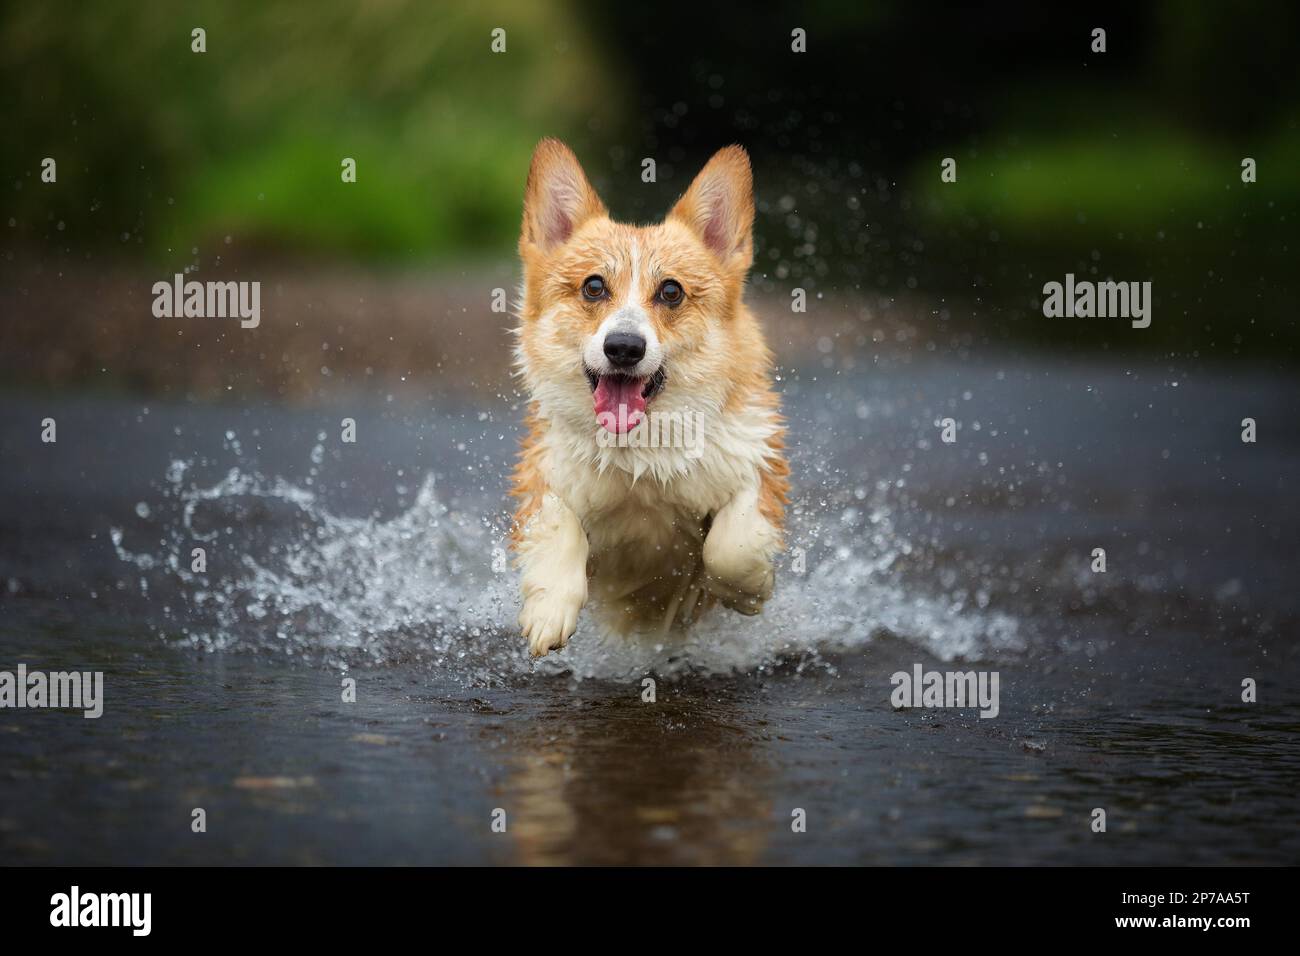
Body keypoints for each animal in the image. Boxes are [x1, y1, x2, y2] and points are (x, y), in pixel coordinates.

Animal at [512, 140, 785, 658]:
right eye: (593, 286)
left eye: (671, 291)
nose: (623, 347)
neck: (641, 451)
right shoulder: (543, 470)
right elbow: (559, 523)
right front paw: (548, 609)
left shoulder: (757, 464)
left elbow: (731, 547)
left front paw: (753, 590)